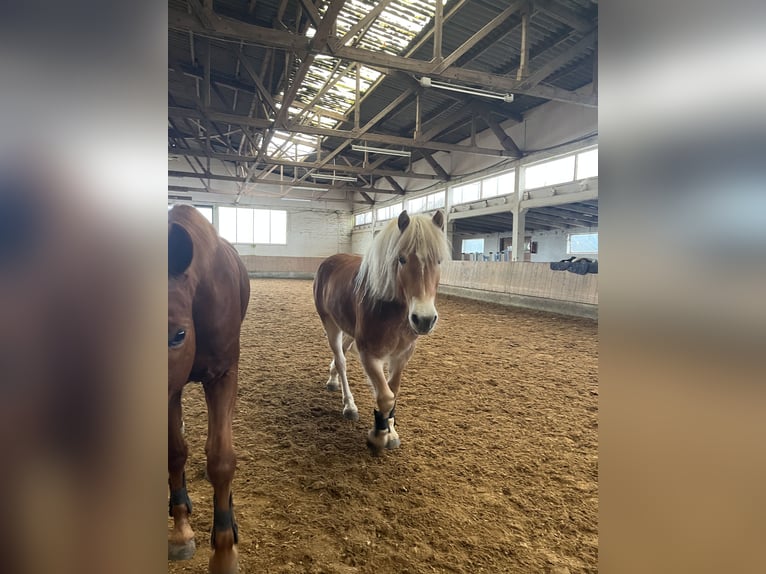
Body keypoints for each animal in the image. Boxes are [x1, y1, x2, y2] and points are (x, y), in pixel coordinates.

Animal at [316, 210, 452, 454]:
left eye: (438, 260)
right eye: (402, 259)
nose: (424, 319)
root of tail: (328, 262)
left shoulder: (402, 355)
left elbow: (393, 391)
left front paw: (391, 430)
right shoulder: (370, 355)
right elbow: (385, 396)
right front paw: (379, 435)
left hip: (348, 329)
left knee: (342, 352)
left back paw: (332, 379)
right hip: (330, 324)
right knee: (341, 360)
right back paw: (349, 405)